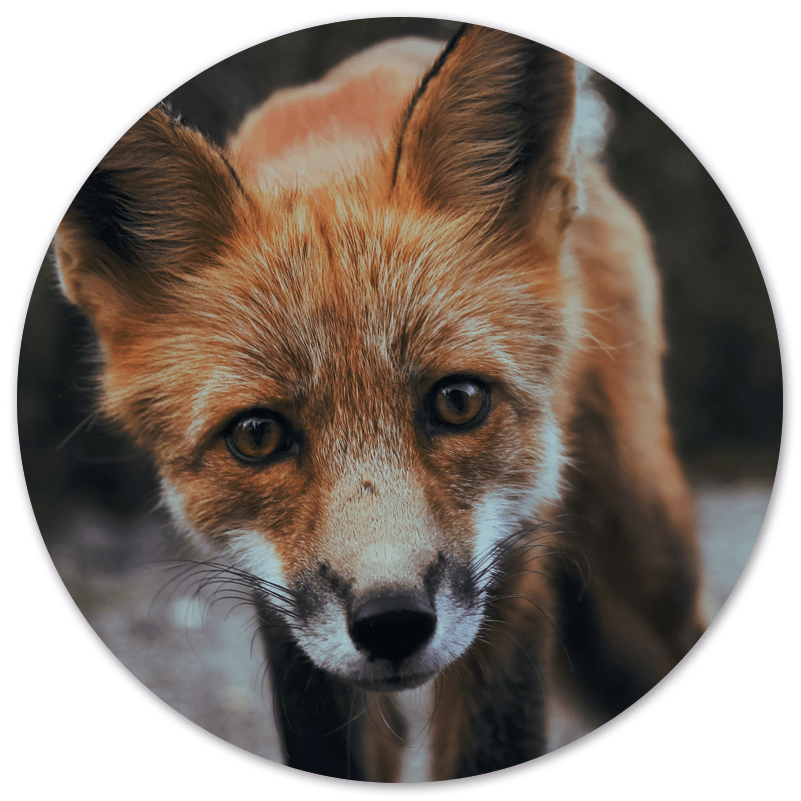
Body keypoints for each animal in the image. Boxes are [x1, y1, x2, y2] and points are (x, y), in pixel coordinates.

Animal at [53, 24, 706, 781]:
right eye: (256, 435)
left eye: (458, 401)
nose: (391, 622)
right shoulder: (285, 620)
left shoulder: (513, 570)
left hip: (643, 570)